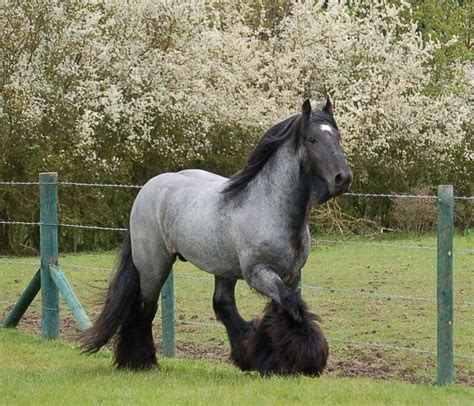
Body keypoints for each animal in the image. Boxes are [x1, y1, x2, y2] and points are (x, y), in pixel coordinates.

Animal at [82, 97, 352, 374]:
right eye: (312, 139)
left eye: (337, 136)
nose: (343, 178)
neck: (270, 206)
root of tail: (147, 188)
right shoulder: (259, 273)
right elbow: (294, 308)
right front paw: (304, 359)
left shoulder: (290, 275)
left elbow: (285, 311)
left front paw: (277, 360)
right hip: (153, 266)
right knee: (145, 307)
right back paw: (141, 362)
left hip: (222, 268)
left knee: (222, 304)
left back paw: (246, 354)